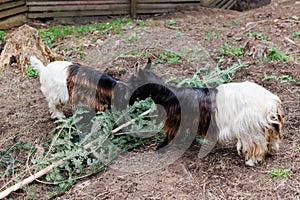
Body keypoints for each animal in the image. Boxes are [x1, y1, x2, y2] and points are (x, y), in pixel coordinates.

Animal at [126, 58, 284, 166]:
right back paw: (272, 151)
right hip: (265, 123)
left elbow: (170, 134)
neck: (170, 96)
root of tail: (271, 101)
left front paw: (161, 147)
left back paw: (251, 161)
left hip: (250, 125)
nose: (128, 100)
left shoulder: (176, 121)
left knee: (258, 143)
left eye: (133, 81)